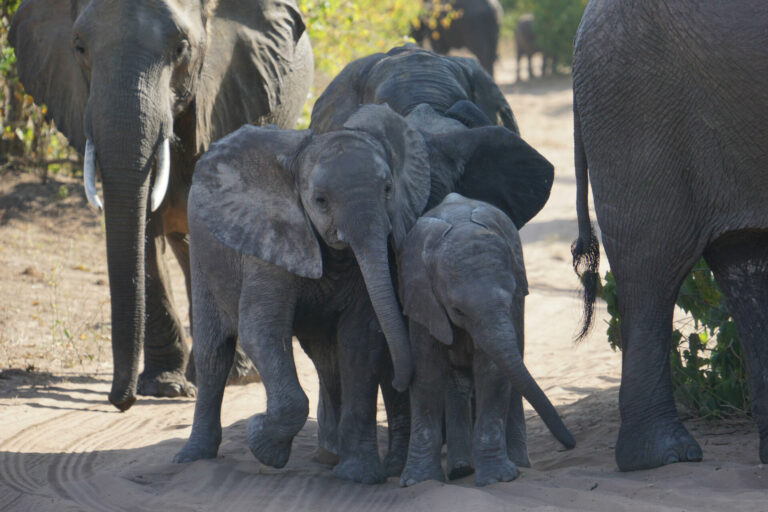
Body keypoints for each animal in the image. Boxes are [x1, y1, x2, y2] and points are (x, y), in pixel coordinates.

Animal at [9, 0, 316, 410]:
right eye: (78, 46)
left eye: (181, 49)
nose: (120, 401)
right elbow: (145, 235)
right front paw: (165, 387)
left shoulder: (226, 95)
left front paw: (221, 378)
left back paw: (235, 372)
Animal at [400, 194, 572, 486]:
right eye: (457, 309)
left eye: (510, 294)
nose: (569, 445)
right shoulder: (422, 298)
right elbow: (427, 374)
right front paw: (418, 481)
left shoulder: (513, 300)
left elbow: (492, 371)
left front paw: (497, 478)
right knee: (457, 381)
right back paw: (460, 469)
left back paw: (517, 463)